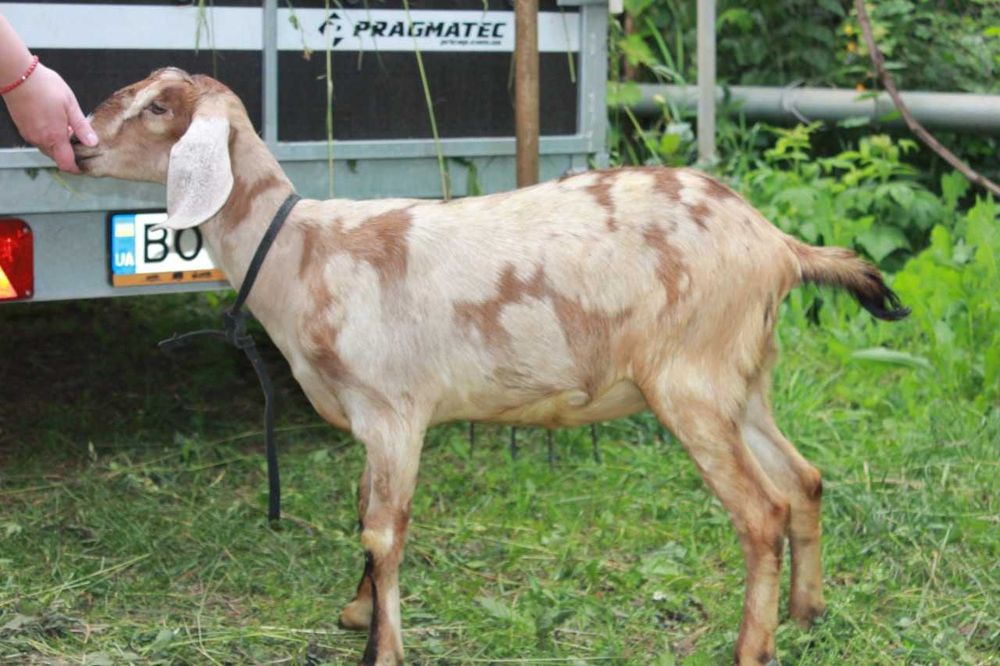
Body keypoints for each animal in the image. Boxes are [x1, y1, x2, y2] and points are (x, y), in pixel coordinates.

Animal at [74, 68, 908, 665]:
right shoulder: (373, 424)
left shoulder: (396, 411)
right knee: (804, 480)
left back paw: (752, 648)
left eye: (159, 107)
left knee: (760, 513)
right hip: (744, 378)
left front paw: (383, 649)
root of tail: (778, 245)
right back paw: (806, 613)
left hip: (691, 383)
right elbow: (362, 512)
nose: (79, 143)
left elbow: (383, 531)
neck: (302, 253)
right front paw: (356, 612)